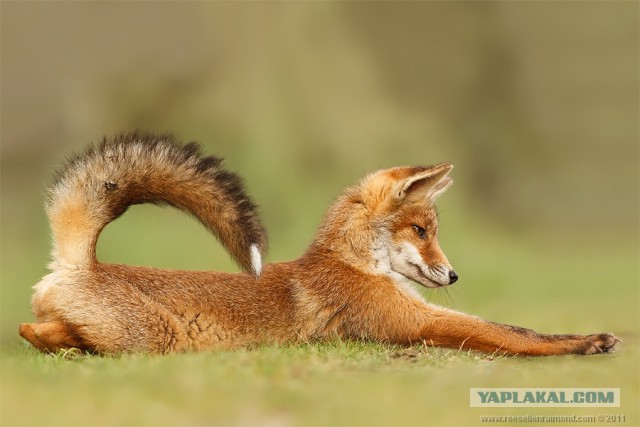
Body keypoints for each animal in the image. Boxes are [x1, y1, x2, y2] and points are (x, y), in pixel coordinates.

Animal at [18, 132, 620, 356]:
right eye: (421, 231)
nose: (453, 276)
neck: (354, 266)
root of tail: (82, 263)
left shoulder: (415, 314)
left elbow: (513, 327)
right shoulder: (415, 322)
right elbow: (512, 333)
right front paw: (584, 342)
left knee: (40, 330)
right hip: (154, 339)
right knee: (42, 332)